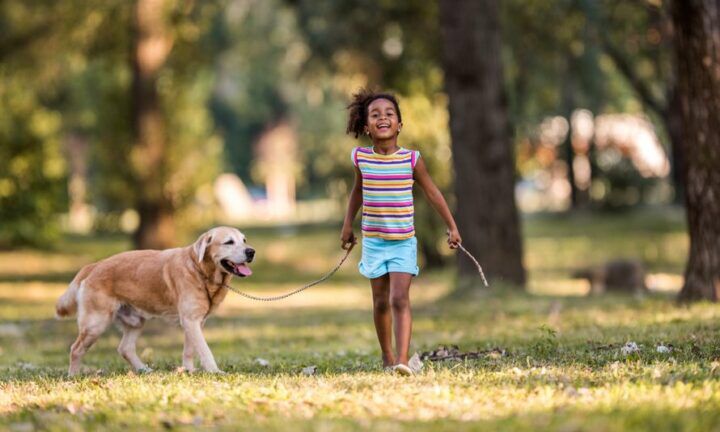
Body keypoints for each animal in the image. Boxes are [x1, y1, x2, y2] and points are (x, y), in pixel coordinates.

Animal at [54, 226, 255, 374]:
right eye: (229, 242)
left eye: (244, 240)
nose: (251, 251)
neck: (199, 270)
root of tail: (93, 265)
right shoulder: (190, 320)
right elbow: (205, 350)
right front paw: (214, 371)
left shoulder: (195, 322)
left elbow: (189, 350)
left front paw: (189, 371)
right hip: (95, 324)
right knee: (75, 349)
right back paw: (73, 376)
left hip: (135, 321)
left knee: (125, 348)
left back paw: (145, 370)